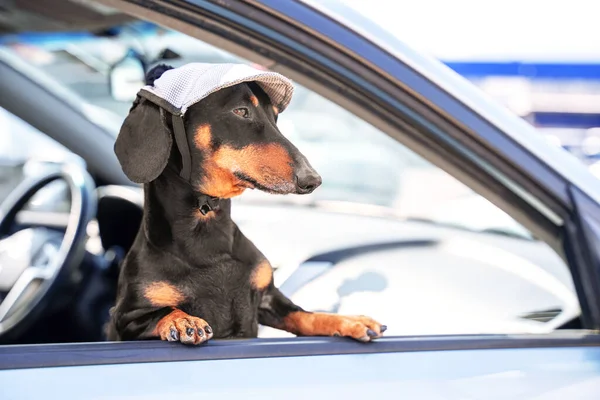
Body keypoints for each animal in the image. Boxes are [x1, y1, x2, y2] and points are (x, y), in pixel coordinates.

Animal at [105, 65, 386, 344]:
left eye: (275, 116)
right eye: (241, 111)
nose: (312, 180)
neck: (208, 236)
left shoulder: (268, 299)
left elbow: (305, 315)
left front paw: (349, 321)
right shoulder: (126, 319)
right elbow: (162, 311)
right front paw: (183, 320)